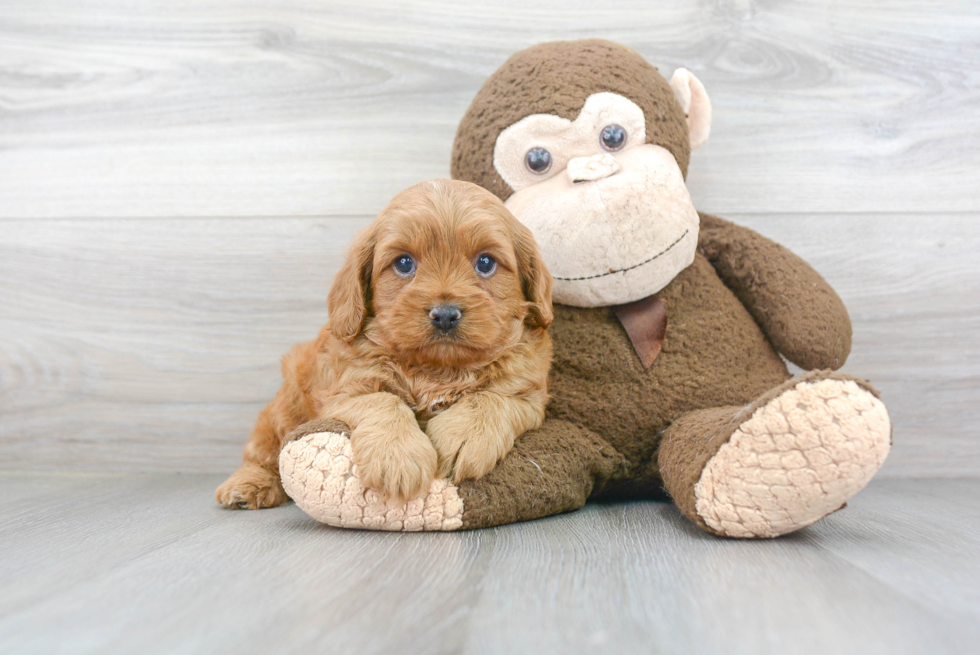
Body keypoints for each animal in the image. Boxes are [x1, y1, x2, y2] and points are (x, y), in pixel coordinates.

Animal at [214, 181, 552, 512]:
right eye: (403, 263)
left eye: (485, 262)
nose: (444, 315)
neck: (438, 369)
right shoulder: (343, 392)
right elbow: (383, 401)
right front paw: (398, 457)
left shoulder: (527, 396)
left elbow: (489, 398)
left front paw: (463, 436)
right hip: (286, 405)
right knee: (264, 449)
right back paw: (248, 484)